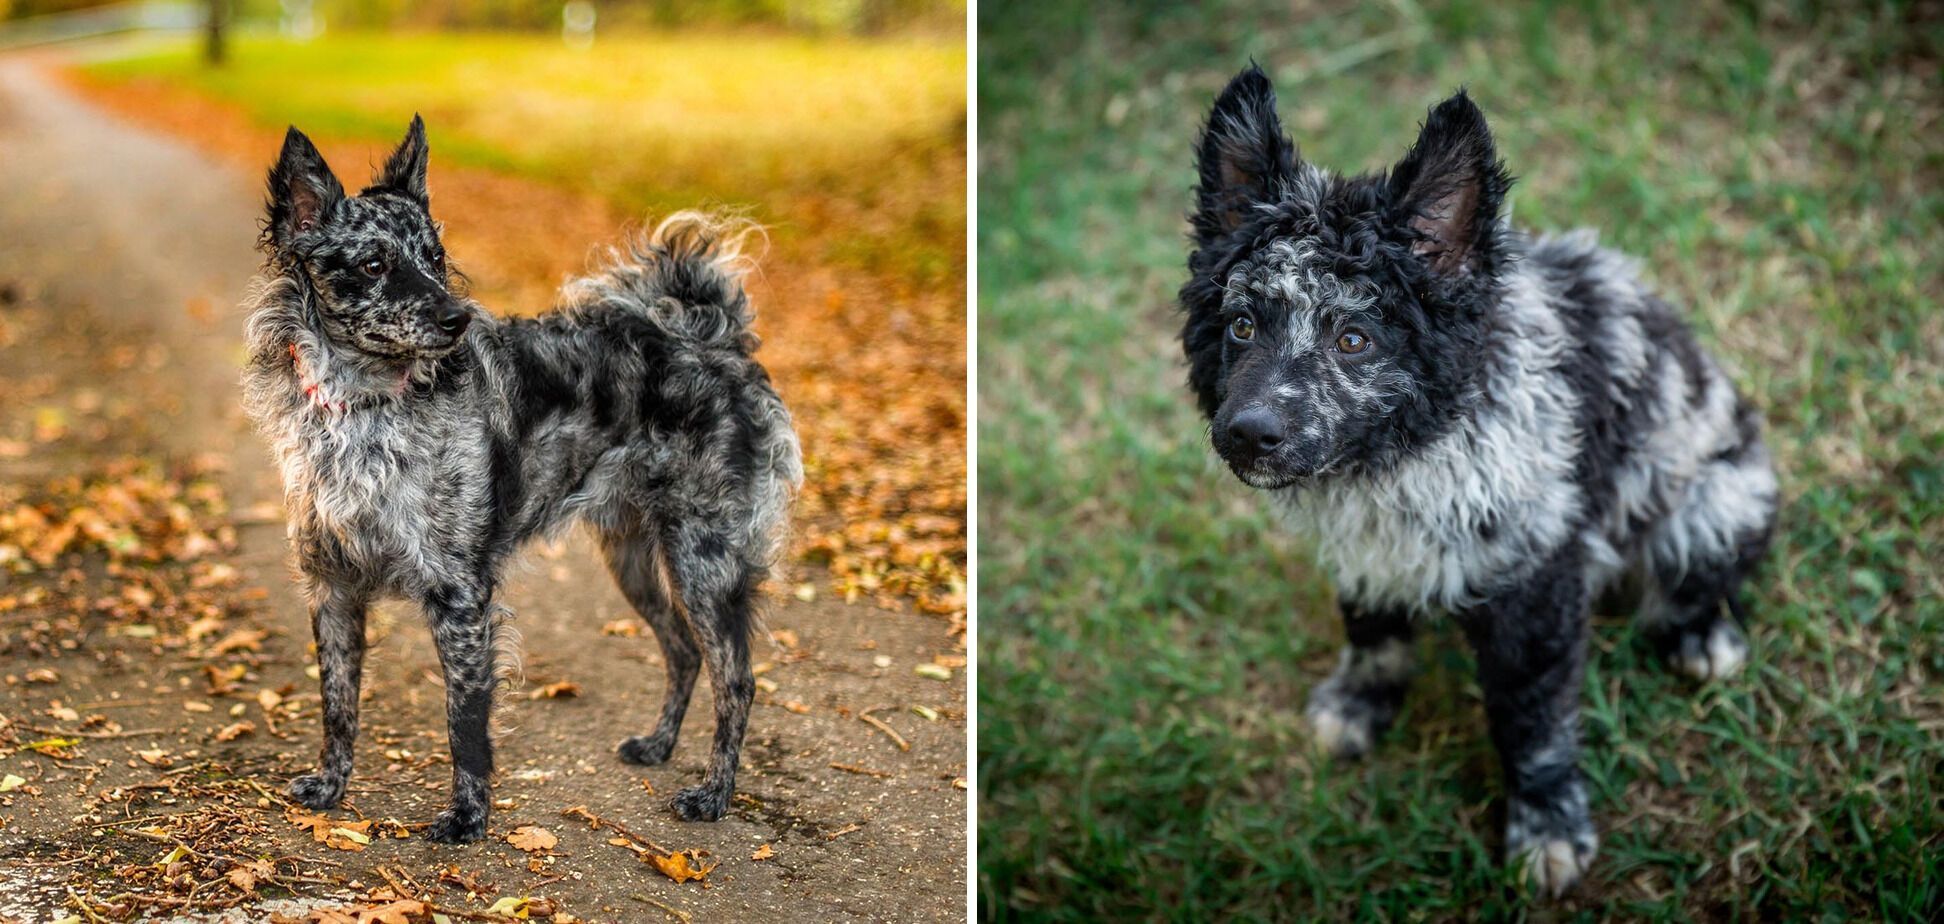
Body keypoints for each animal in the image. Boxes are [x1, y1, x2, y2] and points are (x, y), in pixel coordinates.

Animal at [244, 117, 804, 848]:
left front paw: (467, 818)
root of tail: (713, 340)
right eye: (373, 264)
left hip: (703, 562)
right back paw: (658, 746)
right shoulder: (332, 587)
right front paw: (332, 788)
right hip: (633, 557)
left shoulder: (459, 595)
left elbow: (464, 721)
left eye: (434, 256)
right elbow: (337, 704)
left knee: (735, 679)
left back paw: (714, 794)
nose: (456, 318)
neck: (367, 404)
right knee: (683, 652)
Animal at [1174, 70, 1780, 898]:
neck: (1413, 449)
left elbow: (1532, 720)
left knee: (1701, 575)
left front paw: (1546, 823)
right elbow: (1373, 637)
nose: (1248, 433)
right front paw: (1361, 705)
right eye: (1241, 324)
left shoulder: (1537, 583)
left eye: (1353, 339)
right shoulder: (1370, 557)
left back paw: (1700, 632)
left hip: (1716, 500)